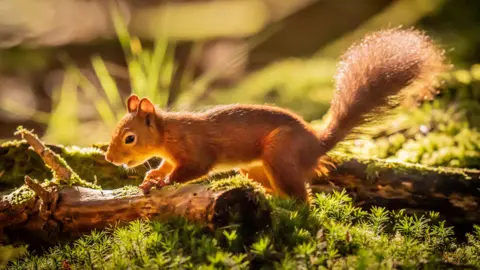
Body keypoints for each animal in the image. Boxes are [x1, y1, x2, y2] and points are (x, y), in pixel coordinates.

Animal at [105, 28, 446, 201]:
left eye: (129, 138)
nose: (109, 158)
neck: (169, 133)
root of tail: (316, 145)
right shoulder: (171, 154)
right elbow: (164, 165)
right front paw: (152, 176)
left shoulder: (195, 150)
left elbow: (193, 169)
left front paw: (163, 182)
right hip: (254, 168)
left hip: (279, 151)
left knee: (301, 198)